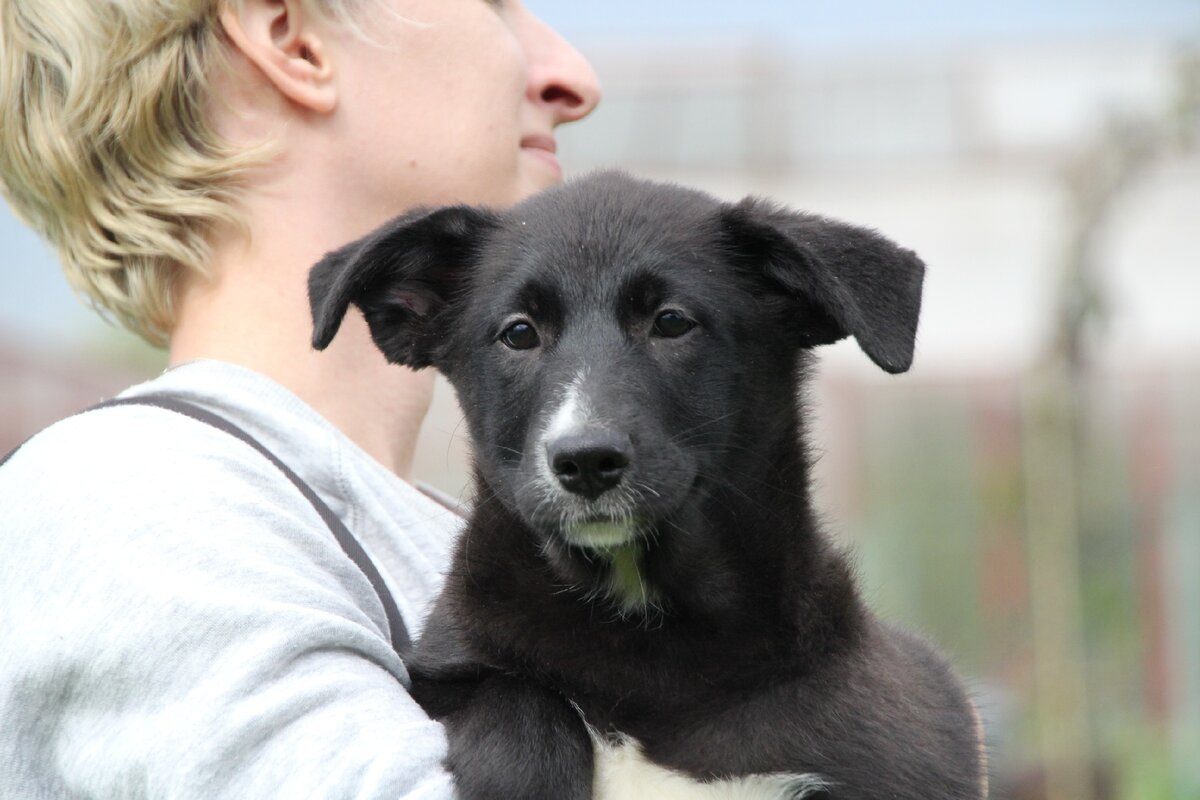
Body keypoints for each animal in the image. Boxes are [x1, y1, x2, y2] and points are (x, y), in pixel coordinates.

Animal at [307, 172, 984, 796]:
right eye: (518, 332)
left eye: (672, 322)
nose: (585, 461)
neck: (640, 624)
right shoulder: (448, 667)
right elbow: (515, 699)